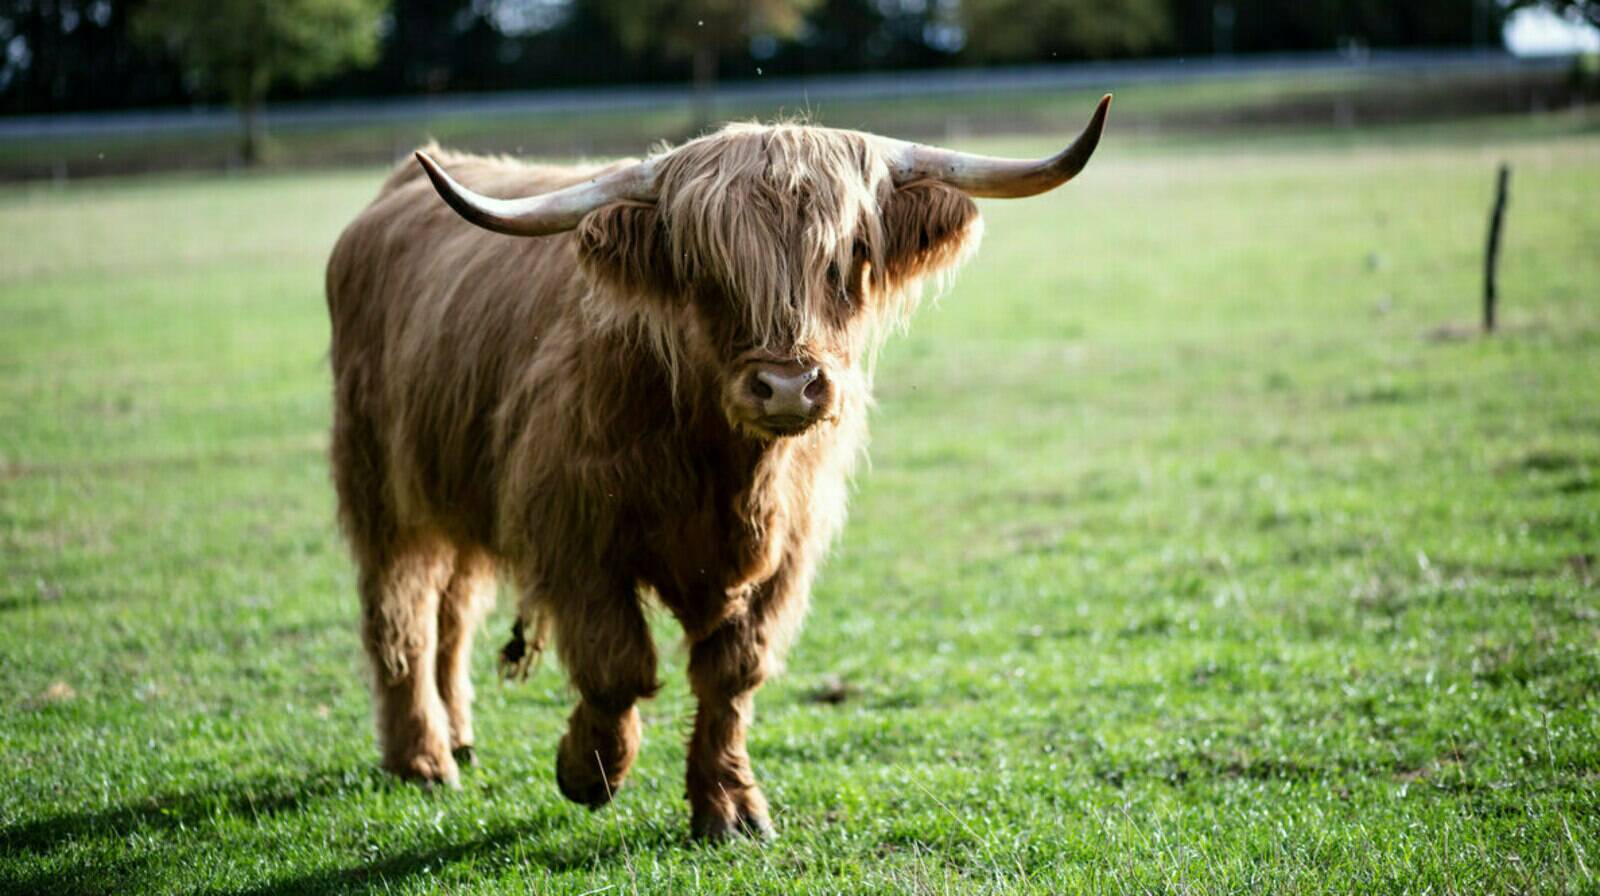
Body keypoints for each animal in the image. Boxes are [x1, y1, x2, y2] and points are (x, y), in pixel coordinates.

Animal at [324, 95, 1110, 840]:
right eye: (706, 267)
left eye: (849, 253)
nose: (788, 386)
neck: (727, 466)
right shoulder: (572, 531)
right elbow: (617, 665)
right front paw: (586, 769)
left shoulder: (790, 547)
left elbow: (733, 672)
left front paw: (730, 806)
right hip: (378, 484)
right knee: (401, 611)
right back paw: (422, 759)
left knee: (453, 610)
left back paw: (457, 737)